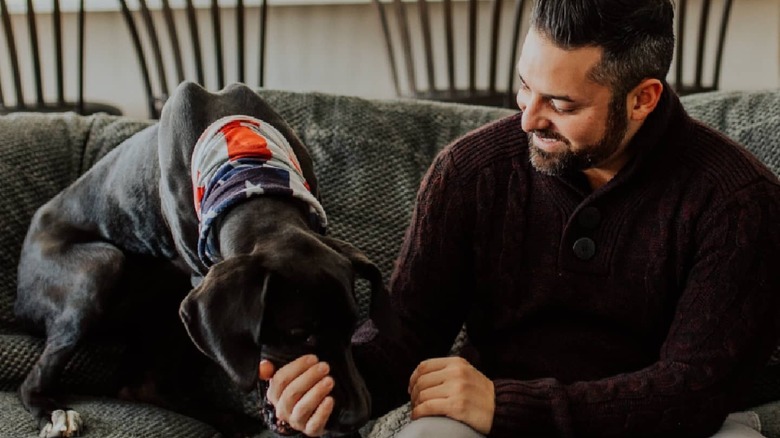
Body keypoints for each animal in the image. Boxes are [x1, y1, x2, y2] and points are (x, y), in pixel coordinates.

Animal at [13, 82, 386, 438]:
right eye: (299, 334)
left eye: (352, 326)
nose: (358, 416)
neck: (250, 180)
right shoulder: (201, 274)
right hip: (100, 269)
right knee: (31, 384)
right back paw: (56, 414)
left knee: (140, 386)